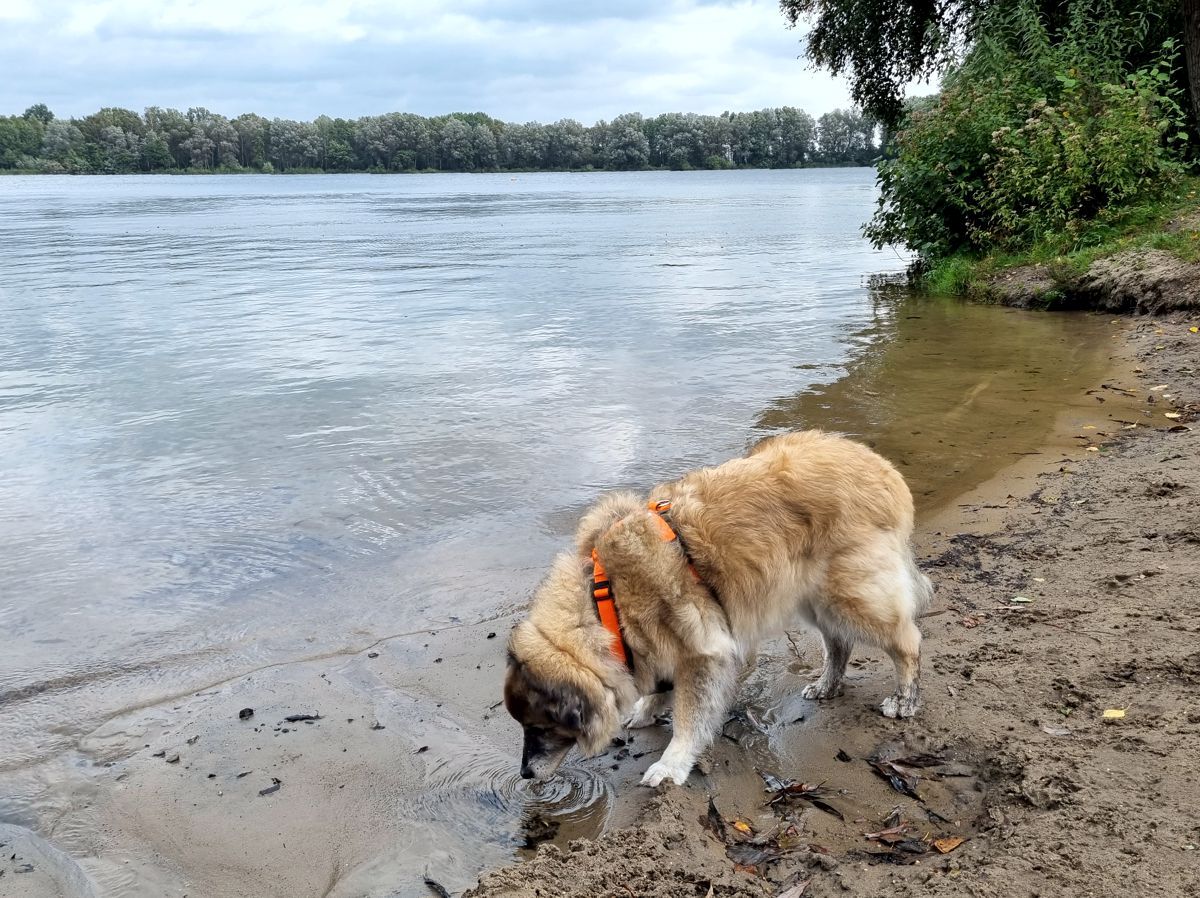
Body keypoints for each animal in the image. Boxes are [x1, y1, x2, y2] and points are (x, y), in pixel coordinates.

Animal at [501, 427, 931, 787]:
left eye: (541, 728)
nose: (524, 774)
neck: (605, 601)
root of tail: (884, 470)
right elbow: (661, 683)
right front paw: (647, 709)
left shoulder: (702, 652)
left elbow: (689, 718)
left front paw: (672, 763)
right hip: (815, 598)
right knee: (839, 643)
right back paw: (828, 684)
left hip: (850, 596)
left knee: (907, 641)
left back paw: (905, 700)